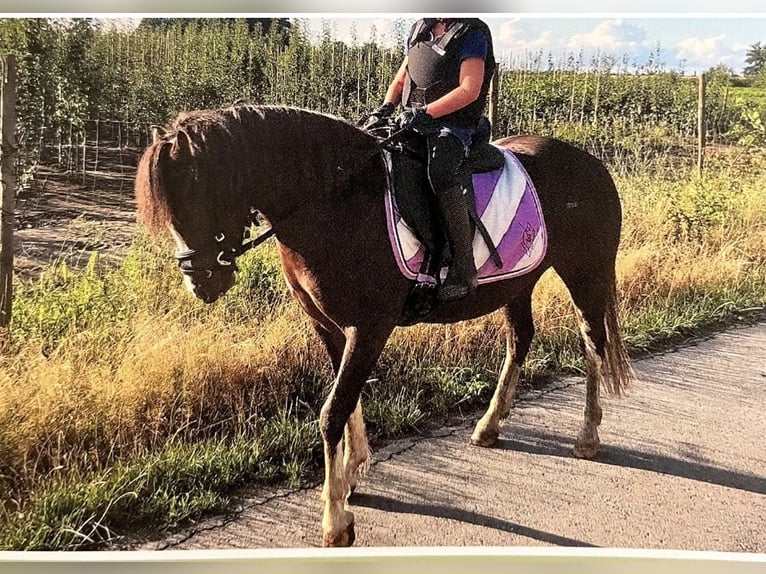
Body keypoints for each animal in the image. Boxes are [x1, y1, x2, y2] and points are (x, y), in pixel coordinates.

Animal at [134, 104, 633, 547]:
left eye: (200, 190)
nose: (200, 282)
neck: (333, 202)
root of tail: (592, 163)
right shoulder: (329, 325)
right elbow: (347, 400)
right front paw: (351, 474)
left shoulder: (370, 328)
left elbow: (332, 410)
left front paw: (335, 520)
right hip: (519, 282)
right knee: (520, 340)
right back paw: (489, 426)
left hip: (585, 272)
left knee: (593, 342)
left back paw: (587, 437)